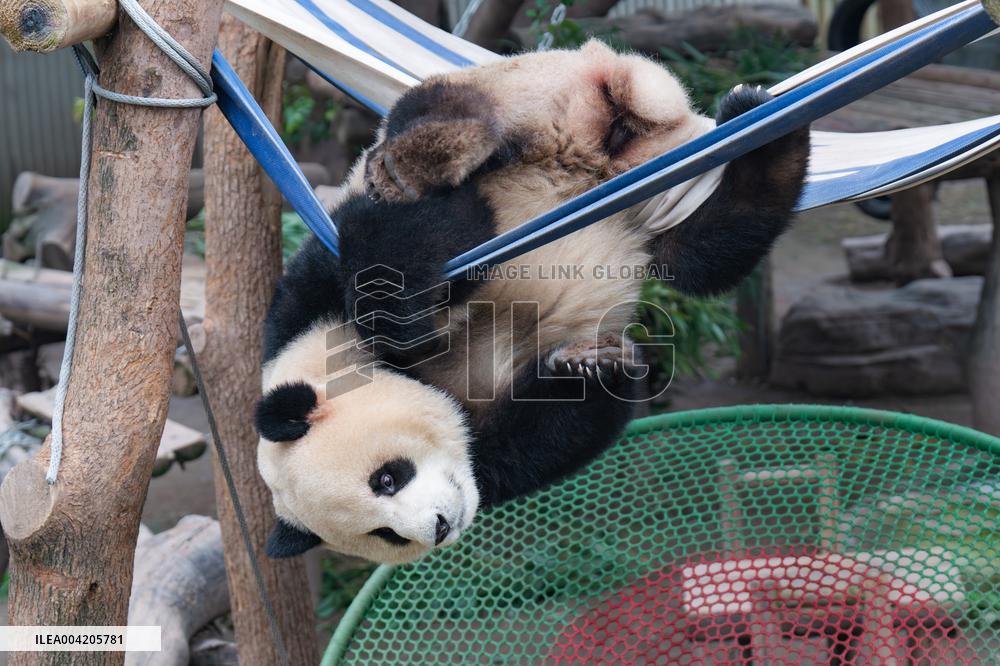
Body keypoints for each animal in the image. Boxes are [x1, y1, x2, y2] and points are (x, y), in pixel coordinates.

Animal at [255, 40, 809, 564]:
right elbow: (545, 436)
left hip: (531, 94)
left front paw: (402, 319)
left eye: (388, 478)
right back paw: (766, 145)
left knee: (448, 110)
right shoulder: (488, 454)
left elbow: (405, 237)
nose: (440, 527)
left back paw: (424, 157)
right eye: (386, 535)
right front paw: (592, 366)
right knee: (700, 249)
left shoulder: (312, 292)